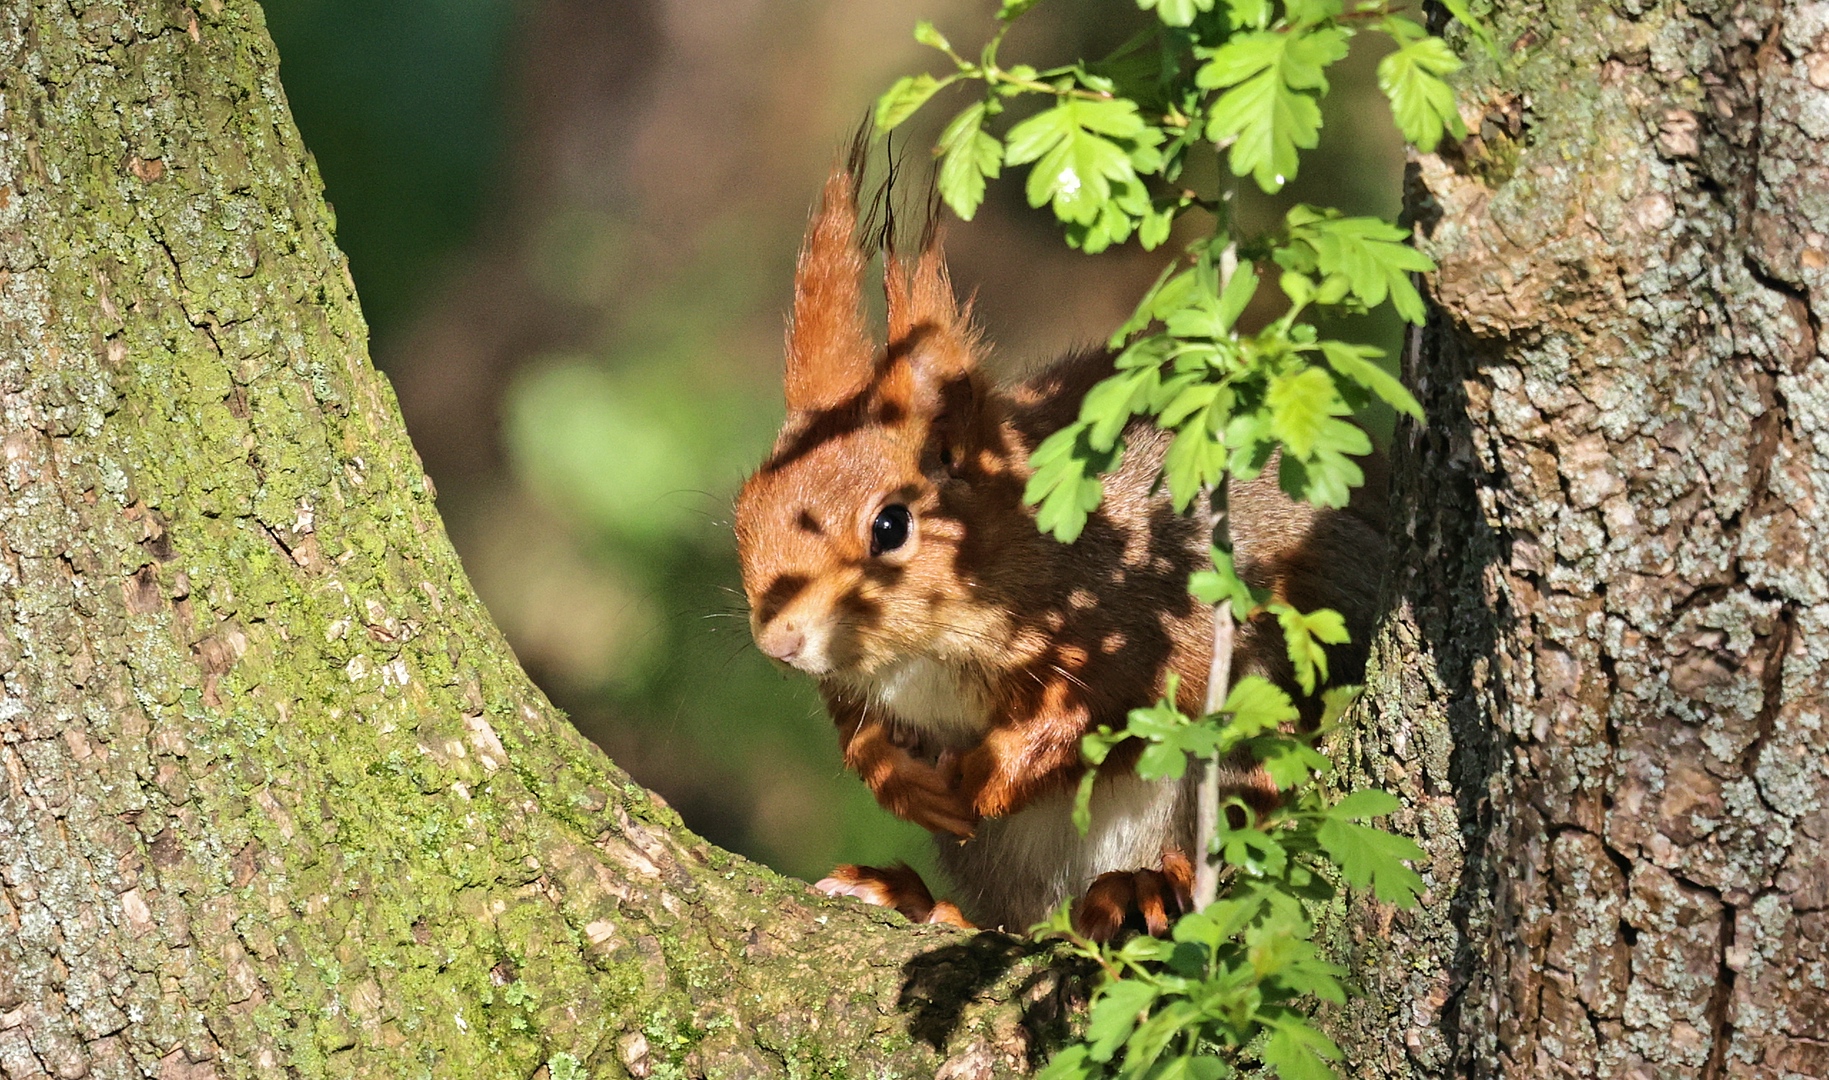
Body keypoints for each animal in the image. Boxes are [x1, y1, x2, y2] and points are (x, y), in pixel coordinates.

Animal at [731, 158, 1382, 937]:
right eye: (743, 512)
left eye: (890, 526)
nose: (779, 643)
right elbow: (858, 736)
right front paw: (900, 781)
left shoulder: (1168, 606)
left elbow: (1110, 707)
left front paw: (987, 776)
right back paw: (912, 901)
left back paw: (1140, 887)